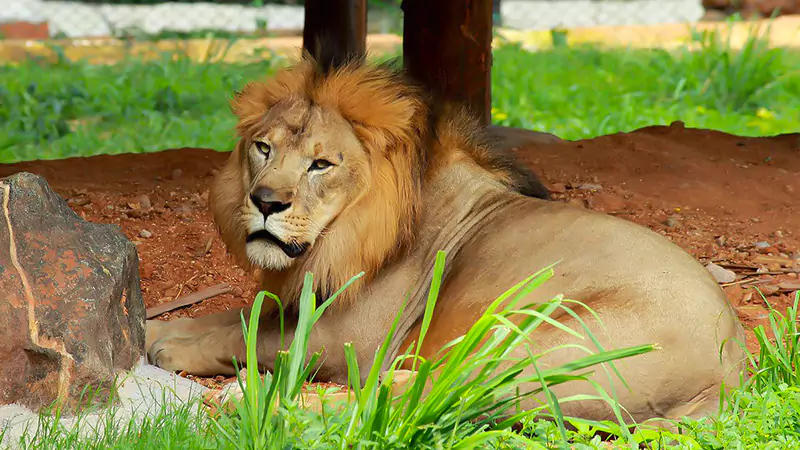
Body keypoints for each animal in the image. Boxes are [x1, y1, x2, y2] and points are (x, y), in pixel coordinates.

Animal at [145, 51, 752, 424]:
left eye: (321, 164)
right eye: (263, 148)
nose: (266, 202)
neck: (343, 236)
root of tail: (729, 370)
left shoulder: (350, 337)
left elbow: (250, 336)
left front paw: (172, 348)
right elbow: (232, 316)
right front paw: (153, 327)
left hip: (525, 347)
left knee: (426, 400)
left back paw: (268, 403)